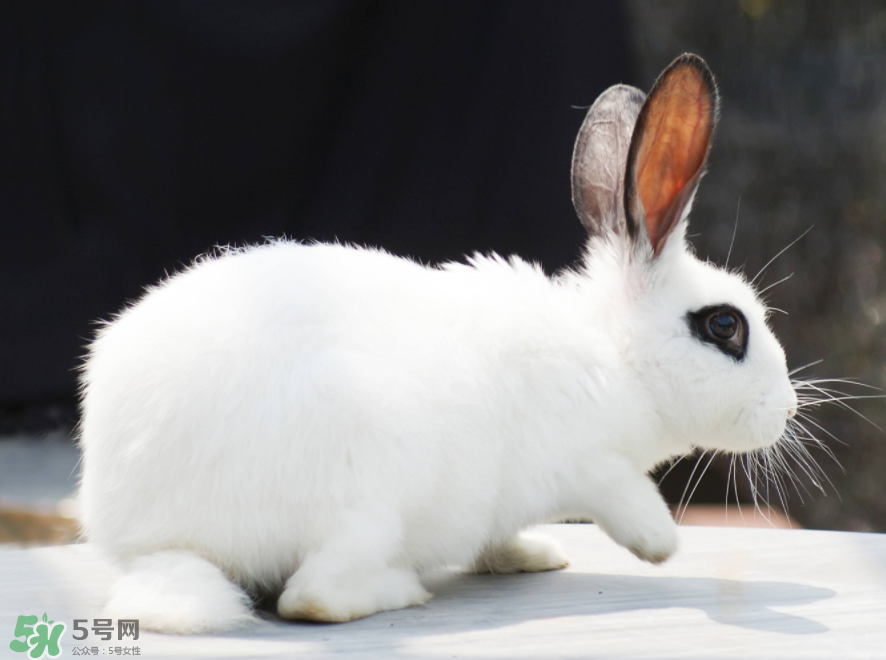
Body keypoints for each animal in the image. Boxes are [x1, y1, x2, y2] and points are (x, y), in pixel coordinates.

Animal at [78, 52, 796, 636]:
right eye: (724, 327)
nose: (787, 408)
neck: (612, 354)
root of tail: (165, 543)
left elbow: (499, 534)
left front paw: (529, 555)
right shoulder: (587, 461)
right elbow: (622, 495)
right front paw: (660, 543)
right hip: (372, 493)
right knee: (312, 597)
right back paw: (399, 591)